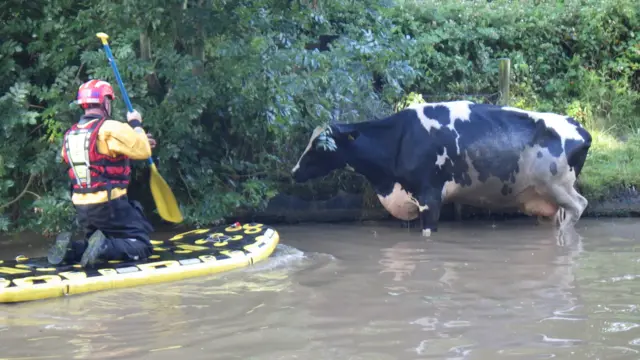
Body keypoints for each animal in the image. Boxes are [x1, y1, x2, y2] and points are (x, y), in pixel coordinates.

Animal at [290, 100, 592, 243]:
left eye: (321, 146)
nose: (293, 172)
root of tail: (580, 128)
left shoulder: (430, 197)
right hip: (546, 198)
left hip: (558, 186)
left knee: (579, 206)